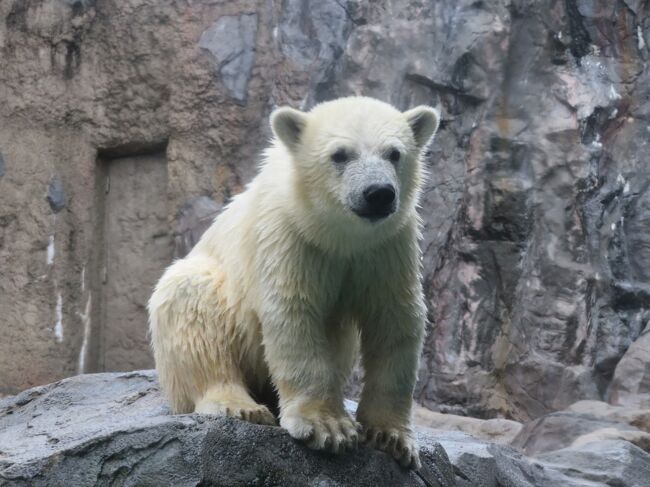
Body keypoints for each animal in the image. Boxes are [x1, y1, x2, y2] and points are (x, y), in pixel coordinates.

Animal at [149, 96, 438, 468]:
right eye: (340, 154)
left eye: (394, 153)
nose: (379, 193)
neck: (339, 236)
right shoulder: (288, 234)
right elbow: (294, 314)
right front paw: (327, 427)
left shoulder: (387, 245)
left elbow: (394, 319)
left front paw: (390, 436)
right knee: (193, 304)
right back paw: (241, 406)